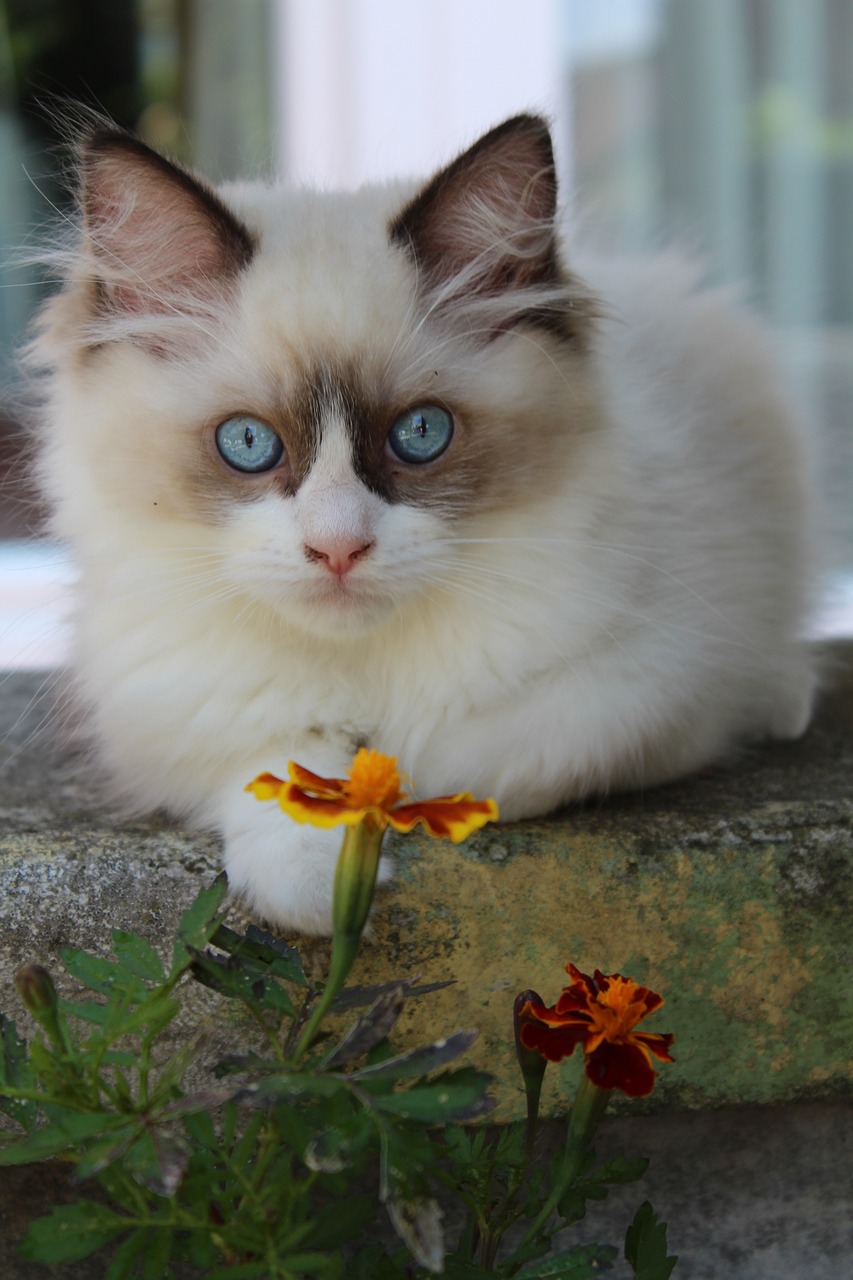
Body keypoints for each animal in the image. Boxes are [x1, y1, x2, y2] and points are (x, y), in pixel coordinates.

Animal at [31, 115, 819, 936]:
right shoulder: (178, 713)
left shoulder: (655, 683)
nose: (338, 549)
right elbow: (273, 772)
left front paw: (387, 789)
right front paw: (322, 879)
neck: (365, 662)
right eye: (247, 443)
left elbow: (482, 757)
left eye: (420, 434)